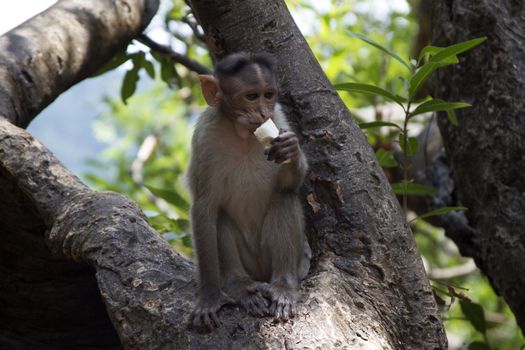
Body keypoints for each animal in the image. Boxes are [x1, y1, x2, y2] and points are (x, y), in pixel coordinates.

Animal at [187, 51, 312, 330]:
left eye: (269, 95)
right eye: (252, 96)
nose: (263, 112)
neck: (242, 135)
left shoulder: (279, 118)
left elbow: (288, 184)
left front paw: (291, 149)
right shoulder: (205, 136)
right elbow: (204, 208)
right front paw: (209, 298)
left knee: (284, 198)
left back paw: (283, 287)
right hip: (251, 266)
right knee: (220, 216)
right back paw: (240, 287)